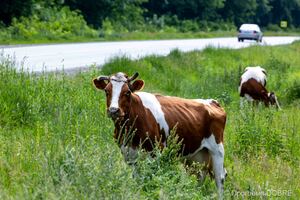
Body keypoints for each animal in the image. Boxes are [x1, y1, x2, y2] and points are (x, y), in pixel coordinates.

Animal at [92, 71, 226, 194]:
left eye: (128, 92)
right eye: (106, 91)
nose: (113, 110)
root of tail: (213, 102)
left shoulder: (156, 153)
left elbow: (153, 177)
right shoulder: (129, 155)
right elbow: (138, 179)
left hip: (217, 148)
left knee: (220, 177)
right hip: (196, 154)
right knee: (199, 174)